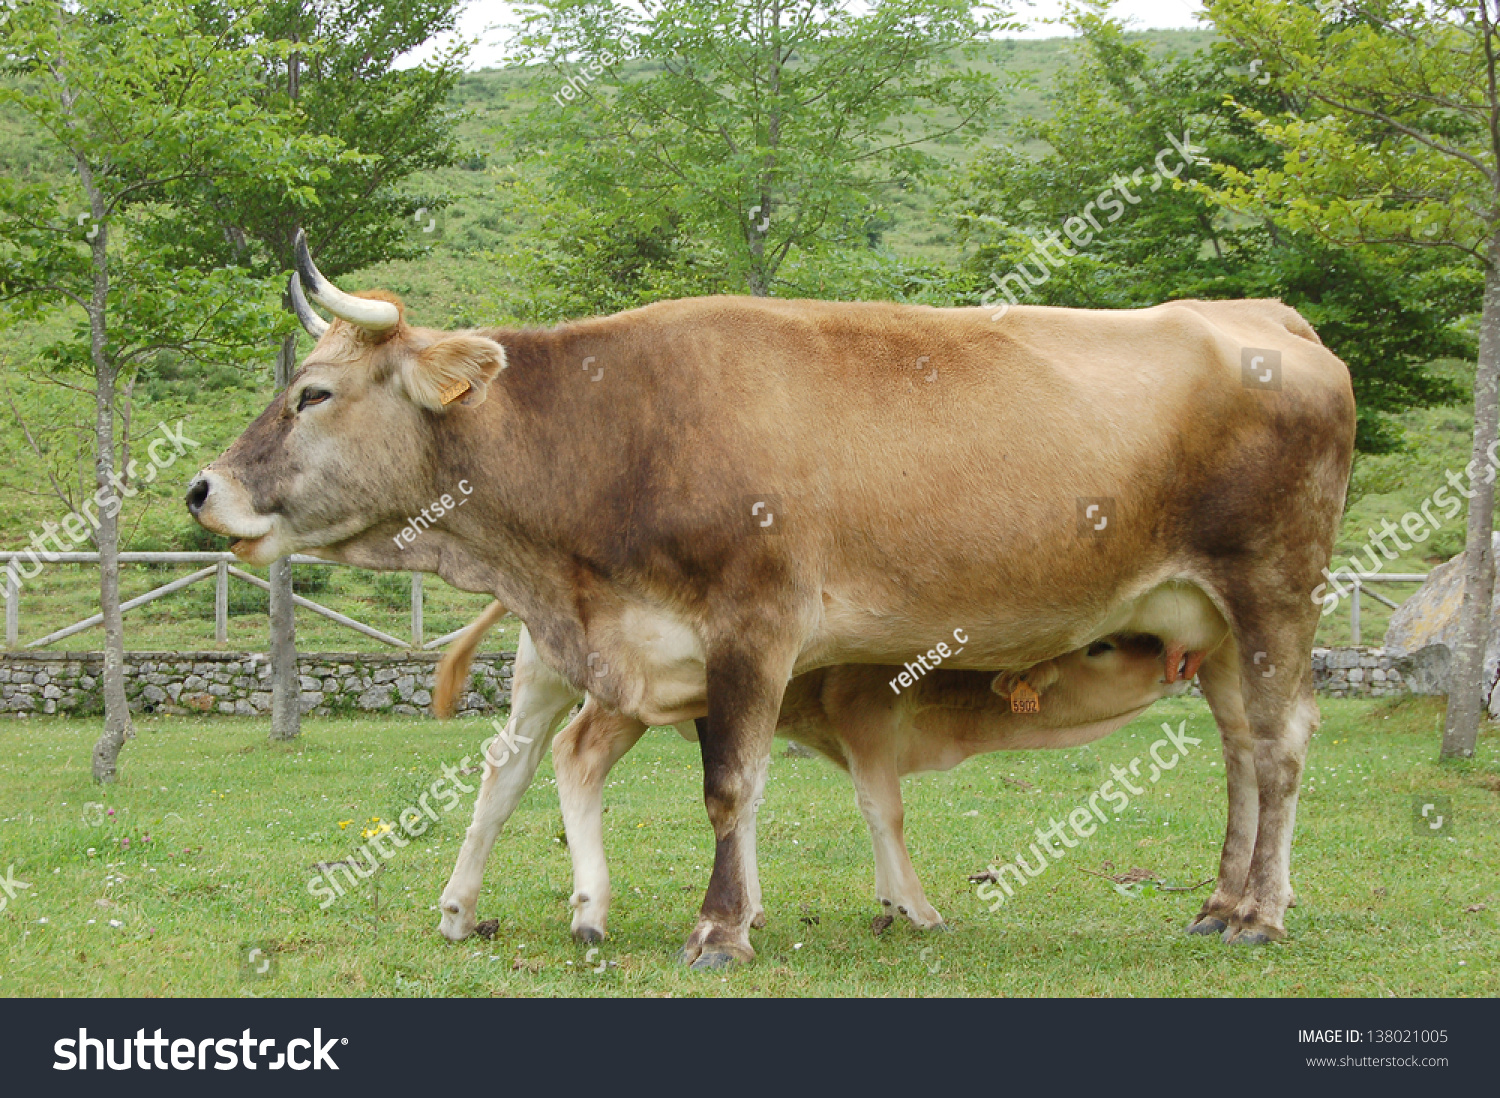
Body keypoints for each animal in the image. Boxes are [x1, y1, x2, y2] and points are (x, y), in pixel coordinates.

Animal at [426, 600, 1218, 942]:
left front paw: (889, 898)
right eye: (1103, 646)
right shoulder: (865, 715)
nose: (1176, 659)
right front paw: (919, 908)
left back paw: (460, 909)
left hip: (540, 684)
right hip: (622, 697)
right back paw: (591, 908)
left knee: (506, 772)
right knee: (576, 757)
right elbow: (884, 809)